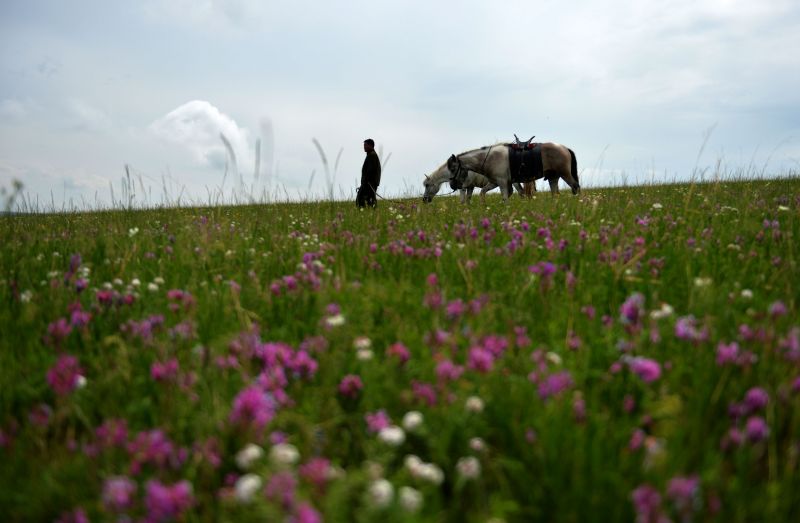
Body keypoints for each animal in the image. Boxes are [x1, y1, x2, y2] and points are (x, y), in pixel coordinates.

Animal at [446, 140, 580, 200]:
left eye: (452, 168)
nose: (452, 185)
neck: (489, 158)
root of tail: (565, 148)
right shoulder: (494, 183)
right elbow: (483, 192)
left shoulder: (502, 183)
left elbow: (505, 197)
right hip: (553, 177)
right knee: (555, 193)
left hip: (565, 174)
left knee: (575, 187)